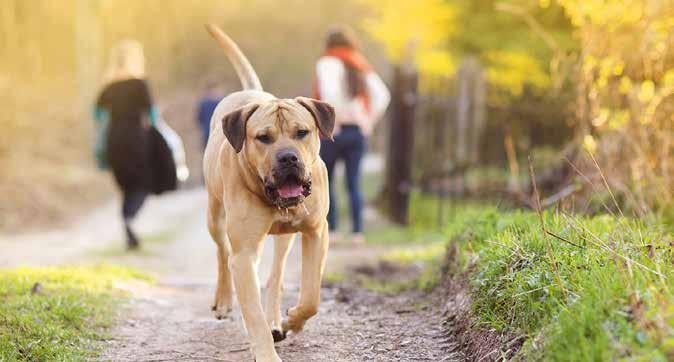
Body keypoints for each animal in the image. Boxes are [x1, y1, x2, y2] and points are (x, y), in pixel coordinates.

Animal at [201, 24, 334, 360]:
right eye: (263, 138)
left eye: (302, 132)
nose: (288, 158)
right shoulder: (245, 254)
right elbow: (252, 312)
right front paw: (265, 350)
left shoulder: (316, 231)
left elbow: (311, 294)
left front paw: (293, 319)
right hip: (215, 215)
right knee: (222, 252)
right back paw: (224, 300)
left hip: (285, 238)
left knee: (276, 277)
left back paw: (278, 320)